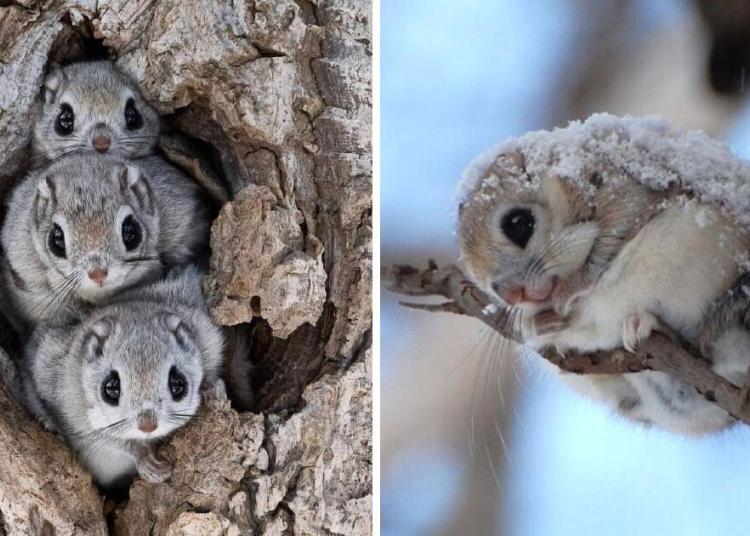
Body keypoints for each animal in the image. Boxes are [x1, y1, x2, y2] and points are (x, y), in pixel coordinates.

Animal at [20, 265, 224, 490]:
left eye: (178, 384)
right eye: (110, 389)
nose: (147, 426)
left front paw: (213, 390)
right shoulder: (68, 407)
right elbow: (116, 440)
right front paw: (149, 463)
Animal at [458, 116, 750, 435]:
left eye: (518, 223)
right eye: (486, 283)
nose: (512, 295)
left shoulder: (624, 193)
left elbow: (607, 245)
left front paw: (569, 291)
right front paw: (536, 323)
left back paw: (646, 324)